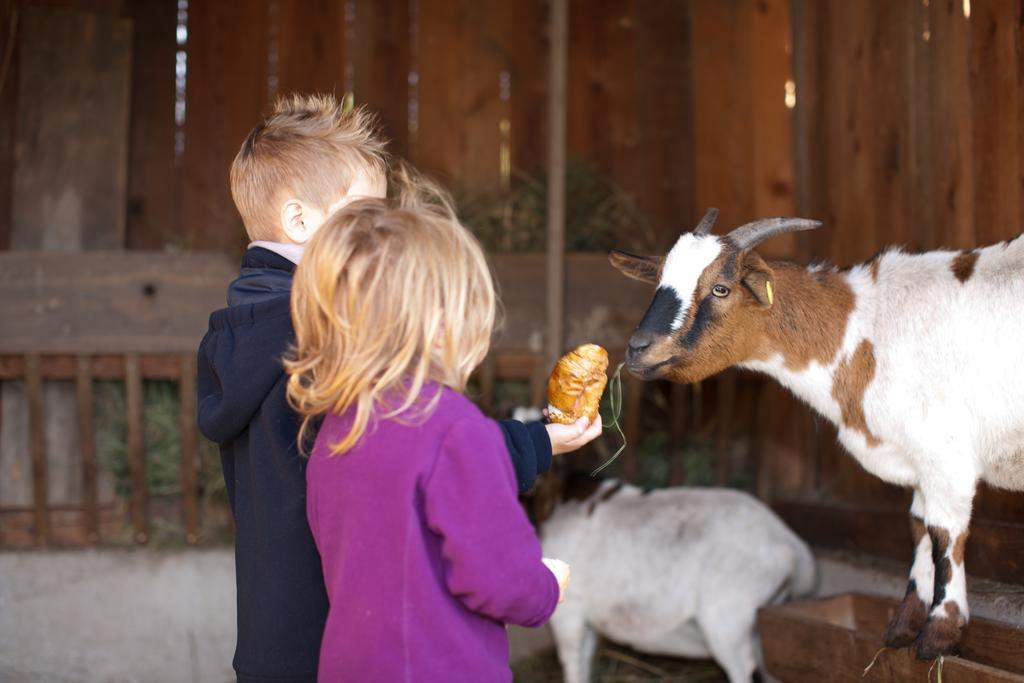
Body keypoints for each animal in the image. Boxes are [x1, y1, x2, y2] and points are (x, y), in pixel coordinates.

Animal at [536, 475, 815, 683]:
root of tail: (789, 543)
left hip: (728, 615)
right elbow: (585, 657)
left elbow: (572, 659)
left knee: (743, 667)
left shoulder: (570, 608)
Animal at [606, 206, 1024, 655]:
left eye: (721, 288)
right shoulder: (917, 459)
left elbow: (944, 535)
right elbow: (918, 530)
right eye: (659, 282)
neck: (863, 330)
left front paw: (939, 635)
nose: (638, 348)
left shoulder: (945, 456)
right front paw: (903, 627)